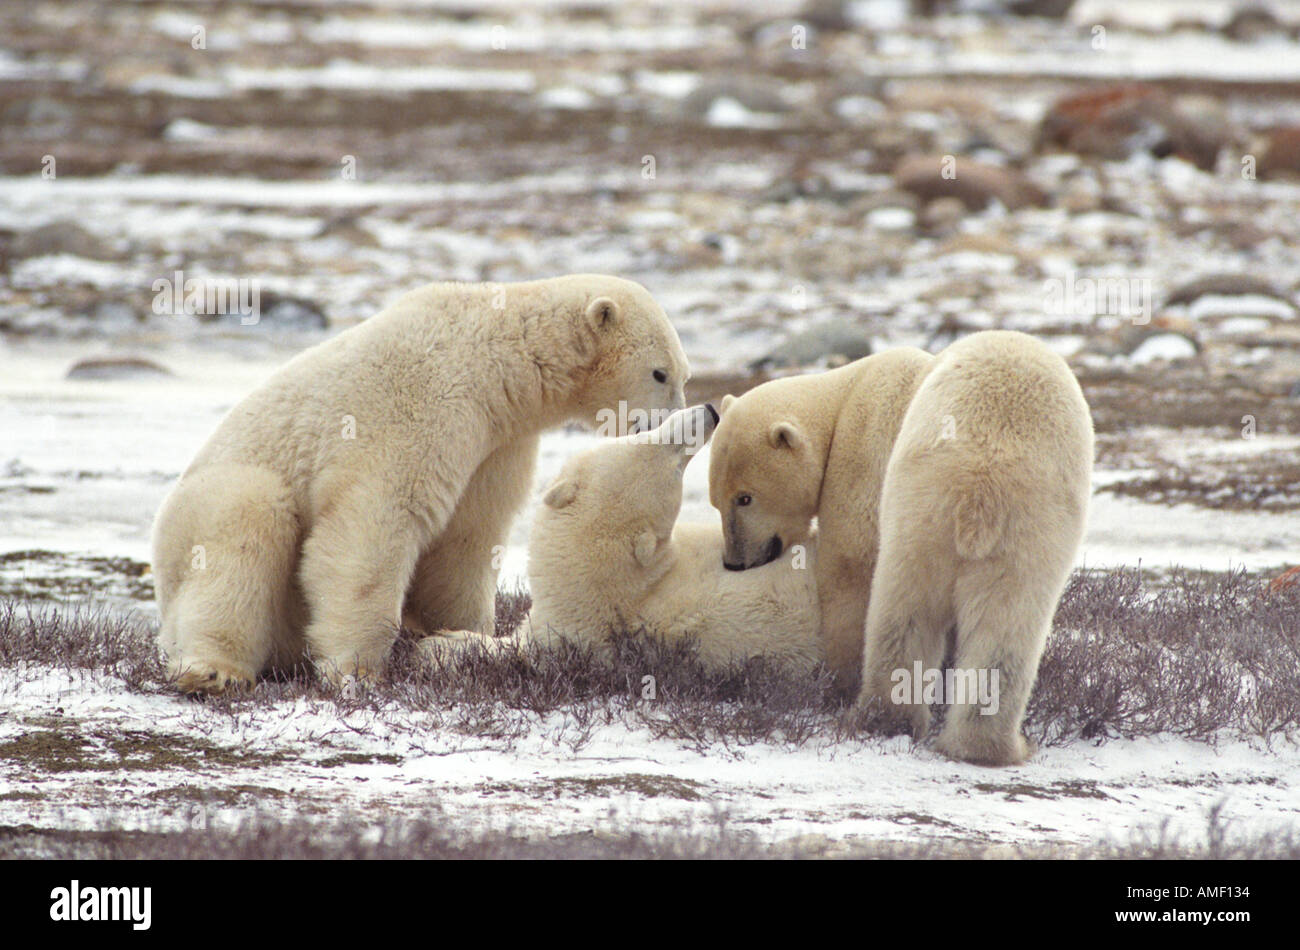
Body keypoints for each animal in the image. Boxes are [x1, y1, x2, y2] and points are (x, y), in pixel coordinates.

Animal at [151, 275, 689, 692]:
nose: (672, 423)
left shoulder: (495, 445)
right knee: (245, 525)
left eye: (684, 374)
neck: (494, 356)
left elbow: (467, 537)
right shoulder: (417, 402)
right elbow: (373, 527)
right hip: (204, 511)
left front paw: (464, 637)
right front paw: (356, 670)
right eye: (660, 373)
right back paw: (212, 671)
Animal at [709, 331, 1093, 765]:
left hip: (923, 500)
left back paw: (880, 717)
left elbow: (851, 567)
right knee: (1009, 625)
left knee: (902, 608)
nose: (735, 562)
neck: (843, 397)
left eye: (744, 498)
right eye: (716, 500)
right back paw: (989, 745)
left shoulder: (865, 447)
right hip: (1030, 529)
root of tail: (983, 482)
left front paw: (837, 680)